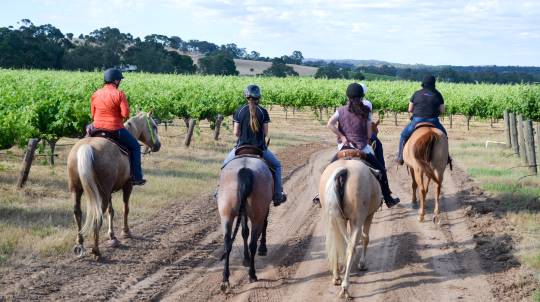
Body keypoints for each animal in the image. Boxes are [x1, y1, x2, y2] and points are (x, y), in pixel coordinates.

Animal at [66, 112, 161, 258]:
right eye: (154, 126)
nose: (158, 145)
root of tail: (86, 148)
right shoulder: (128, 186)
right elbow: (126, 208)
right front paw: (126, 232)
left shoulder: (109, 191)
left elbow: (111, 211)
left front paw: (112, 236)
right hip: (102, 193)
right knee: (98, 216)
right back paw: (96, 250)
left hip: (76, 190)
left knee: (78, 213)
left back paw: (80, 244)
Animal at [216, 155, 272, 292]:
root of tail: (244, 170)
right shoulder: (264, 210)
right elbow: (263, 225)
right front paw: (263, 248)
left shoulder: (242, 213)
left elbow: (244, 231)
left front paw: (245, 259)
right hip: (257, 216)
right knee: (253, 243)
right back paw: (252, 274)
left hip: (226, 215)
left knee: (227, 242)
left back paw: (225, 279)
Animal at [318, 158, 382, 300]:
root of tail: (344, 170)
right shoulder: (369, 215)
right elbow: (365, 238)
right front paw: (362, 263)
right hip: (357, 219)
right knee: (351, 247)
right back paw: (345, 287)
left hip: (335, 219)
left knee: (337, 244)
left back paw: (337, 277)